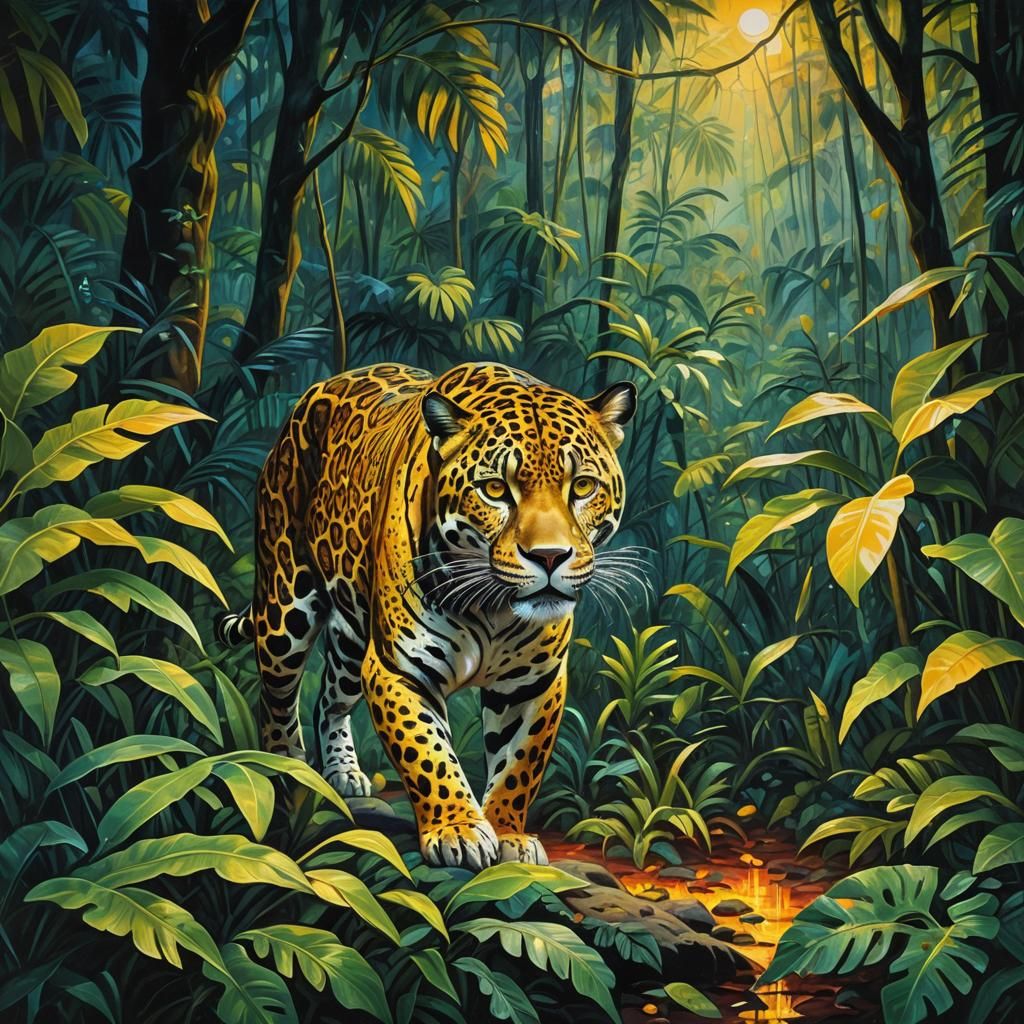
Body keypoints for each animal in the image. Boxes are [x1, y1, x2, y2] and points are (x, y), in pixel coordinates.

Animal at [216, 361, 636, 870]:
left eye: (583, 487)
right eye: (495, 489)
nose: (550, 556)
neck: (492, 607)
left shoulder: (533, 682)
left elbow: (518, 765)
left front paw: (509, 835)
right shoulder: (399, 670)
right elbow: (429, 754)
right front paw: (459, 830)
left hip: (353, 636)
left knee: (329, 698)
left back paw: (342, 773)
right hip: (285, 608)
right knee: (277, 702)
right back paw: (287, 775)